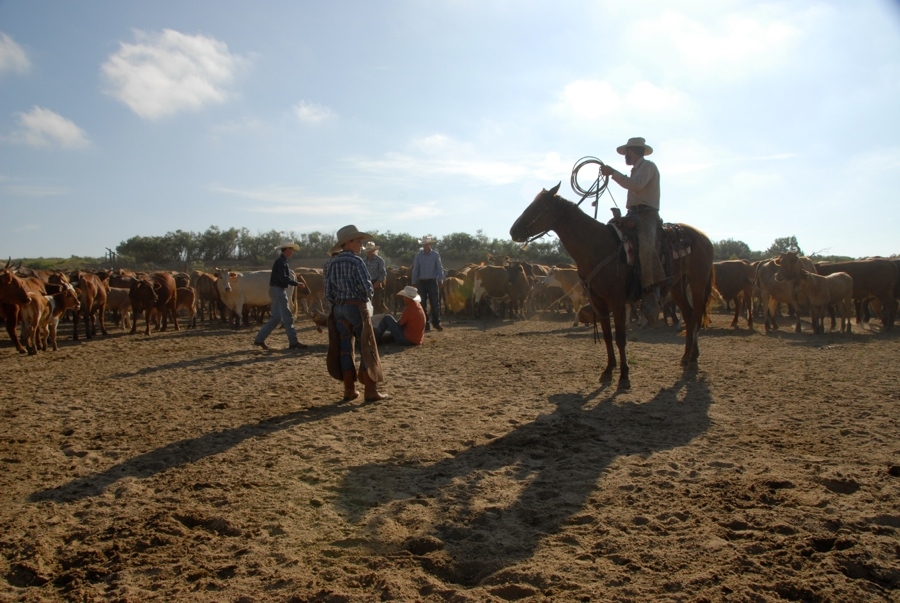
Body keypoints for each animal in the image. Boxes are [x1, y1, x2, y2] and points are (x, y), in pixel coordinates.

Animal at [510, 183, 712, 386]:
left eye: (538, 207)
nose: (513, 231)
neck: (598, 247)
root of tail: (703, 237)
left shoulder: (617, 301)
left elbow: (620, 337)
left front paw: (624, 376)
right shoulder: (598, 301)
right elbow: (607, 336)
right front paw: (608, 370)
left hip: (698, 283)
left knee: (695, 317)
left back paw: (693, 359)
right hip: (677, 286)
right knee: (688, 316)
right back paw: (686, 357)